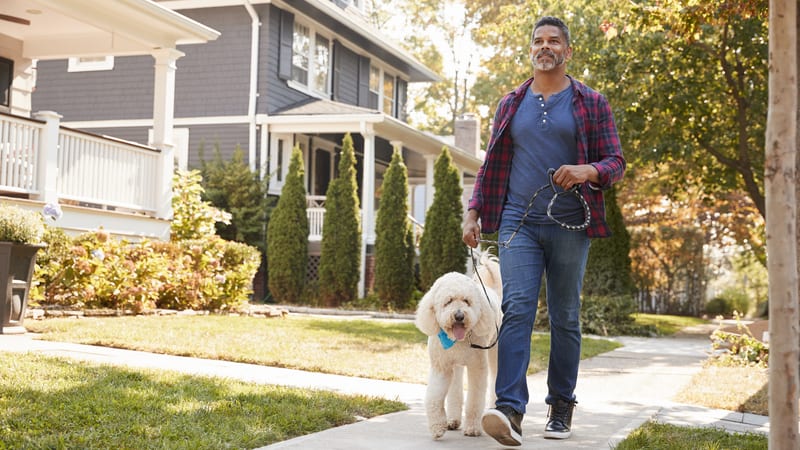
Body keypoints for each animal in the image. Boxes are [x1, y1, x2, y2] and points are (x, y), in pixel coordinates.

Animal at [416, 253, 504, 440]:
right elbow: (434, 397)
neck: (457, 340)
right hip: (455, 366)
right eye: (448, 301)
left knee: (495, 379)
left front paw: (472, 428)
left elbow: (475, 399)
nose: (459, 316)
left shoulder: (477, 368)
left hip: (494, 354)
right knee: (455, 390)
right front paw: (437, 426)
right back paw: (453, 420)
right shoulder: (441, 367)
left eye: (466, 301)